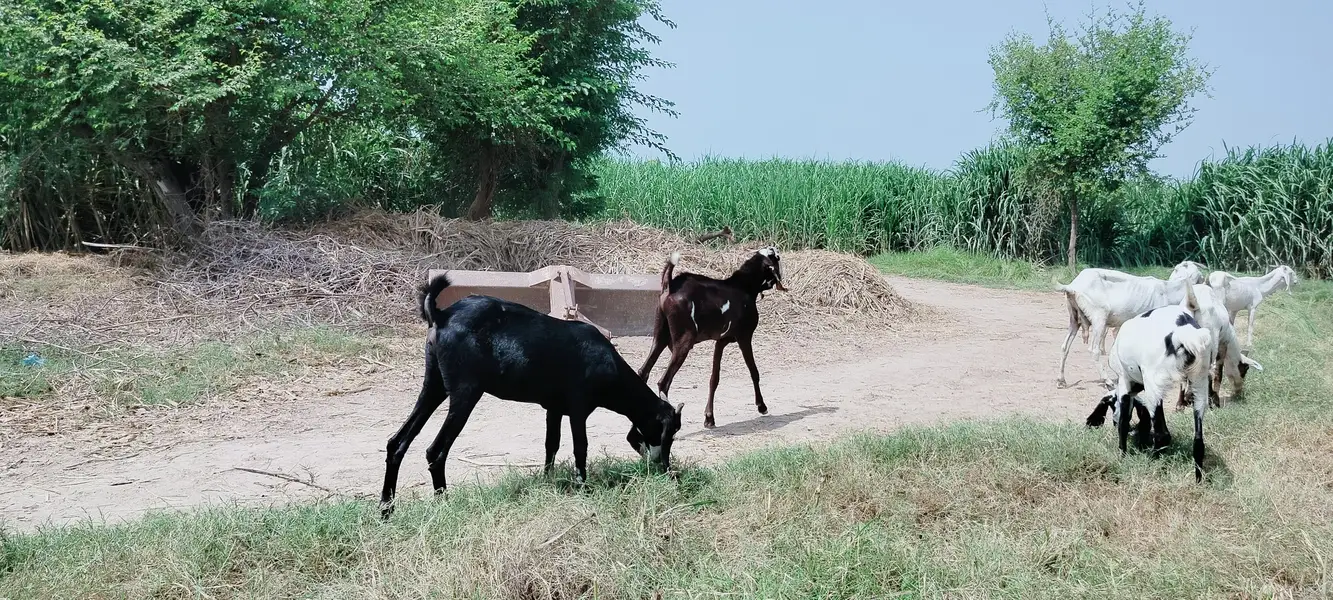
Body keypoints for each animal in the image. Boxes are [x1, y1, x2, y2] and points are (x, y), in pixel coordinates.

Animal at [379, 273, 685, 519]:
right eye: (669, 433)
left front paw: (548, 480)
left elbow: (552, 444)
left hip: (435, 385)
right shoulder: (578, 408)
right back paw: (443, 503)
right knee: (436, 450)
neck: (607, 364)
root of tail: (442, 315)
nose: (668, 470)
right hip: (465, 392)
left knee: (398, 442)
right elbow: (580, 447)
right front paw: (583, 487)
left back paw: (386, 509)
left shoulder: (554, 409)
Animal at [637, 247, 786, 429]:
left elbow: (714, 378)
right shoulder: (745, 337)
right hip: (683, 342)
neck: (743, 286)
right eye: (776, 257)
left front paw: (709, 418)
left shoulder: (720, 342)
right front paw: (761, 406)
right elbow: (754, 371)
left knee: (643, 371)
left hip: (660, 336)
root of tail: (670, 286)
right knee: (663, 382)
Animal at [1056, 260, 1204, 388]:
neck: (1167, 291)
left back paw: (1061, 381)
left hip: (1074, 318)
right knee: (1094, 350)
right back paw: (1107, 380)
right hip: (1099, 317)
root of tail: (1073, 286)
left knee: (1064, 347)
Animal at [1085, 284, 1214, 481]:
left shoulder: (1124, 383)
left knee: (1162, 435)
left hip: (1155, 387)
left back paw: (1152, 461)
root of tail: (1183, 333)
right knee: (1198, 441)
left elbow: (1123, 422)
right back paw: (1198, 480)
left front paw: (1122, 454)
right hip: (1199, 385)